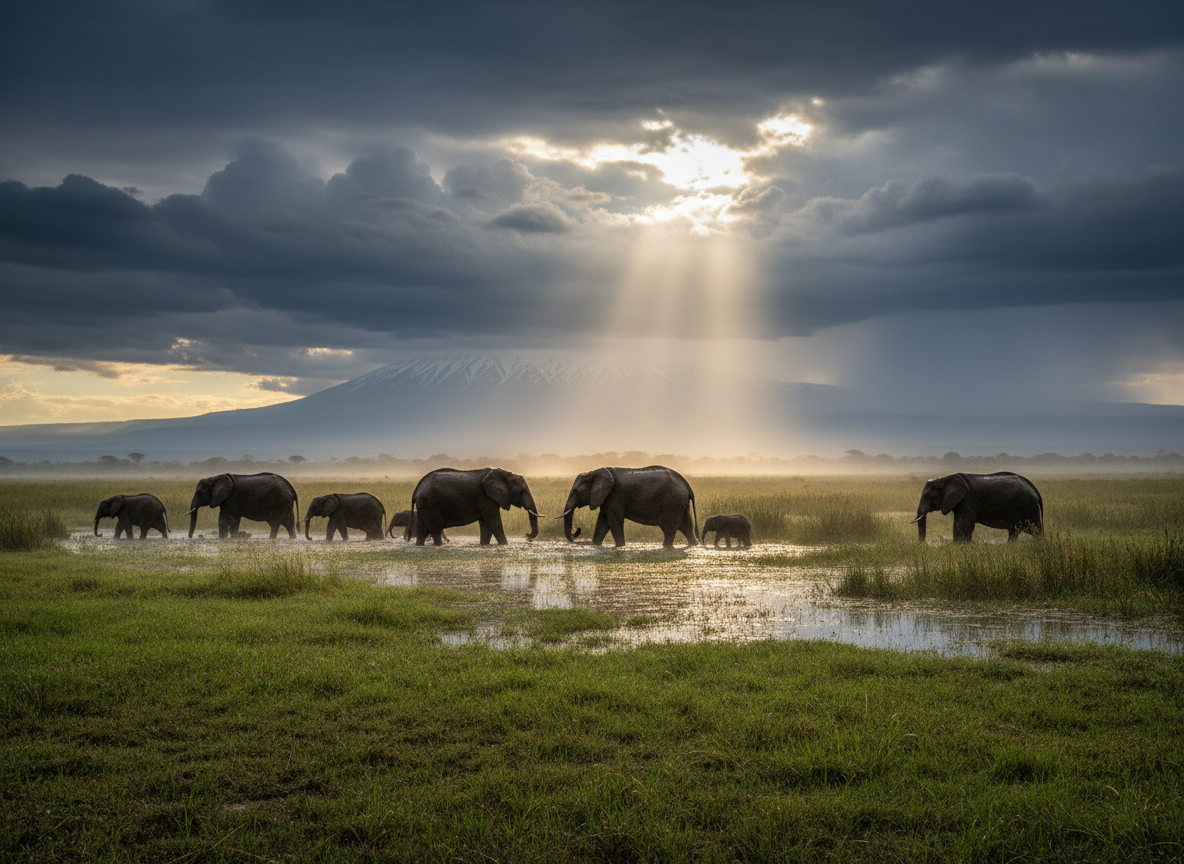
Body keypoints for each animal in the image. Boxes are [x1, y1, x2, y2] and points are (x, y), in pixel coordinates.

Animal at [409, 467, 542, 546]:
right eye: (522, 491)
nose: (527, 536)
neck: (505, 473)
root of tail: (416, 490)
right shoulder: (485, 498)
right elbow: (494, 523)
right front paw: (504, 545)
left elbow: (486, 525)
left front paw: (484, 545)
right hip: (430, 503)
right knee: (435, 528)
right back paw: (439, 545)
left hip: (424, 505)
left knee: (422, 529)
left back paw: (419, 545)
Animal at [560, 465, 698, 548]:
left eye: (577, 492)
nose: (578, 529)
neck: (593, 472)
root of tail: (687, 486)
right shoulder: (607, 498)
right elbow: (603, 521)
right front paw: (595, 545)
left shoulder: (615, 494)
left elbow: (614, 521)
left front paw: (621, 547)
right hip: (679, 503)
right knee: (686, 525)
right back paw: (694, 544)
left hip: (672, 502)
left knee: (669, 527)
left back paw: (666, 547)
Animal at [912, 472, 1043, 542]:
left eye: (931, 496)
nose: (923, 545)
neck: (945, 477)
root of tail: (1037, 492)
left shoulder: (969, 500)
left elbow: (963, 525)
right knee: (1014, 531)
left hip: (1029, 507)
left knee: (1036, 531)